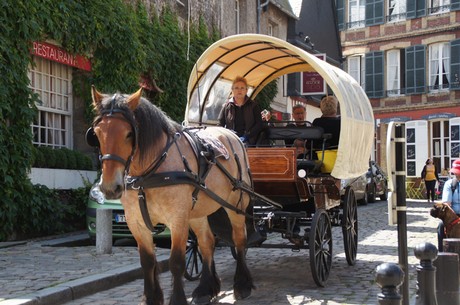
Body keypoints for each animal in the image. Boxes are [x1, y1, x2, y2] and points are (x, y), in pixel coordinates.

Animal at [87, 86, 255, 302]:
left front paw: (177, 299)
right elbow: (147, 262)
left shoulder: (177, 219)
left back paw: (242, 284)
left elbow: (176, 262)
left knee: (239, 239)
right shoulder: (136, 222)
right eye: (97, 134)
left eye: (129, 134)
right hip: (198, 211)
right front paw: (152, 298)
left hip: (236, 205)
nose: (109, 187)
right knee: (207, 243)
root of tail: (232, 135)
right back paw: (206, 288)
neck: (146, 175)